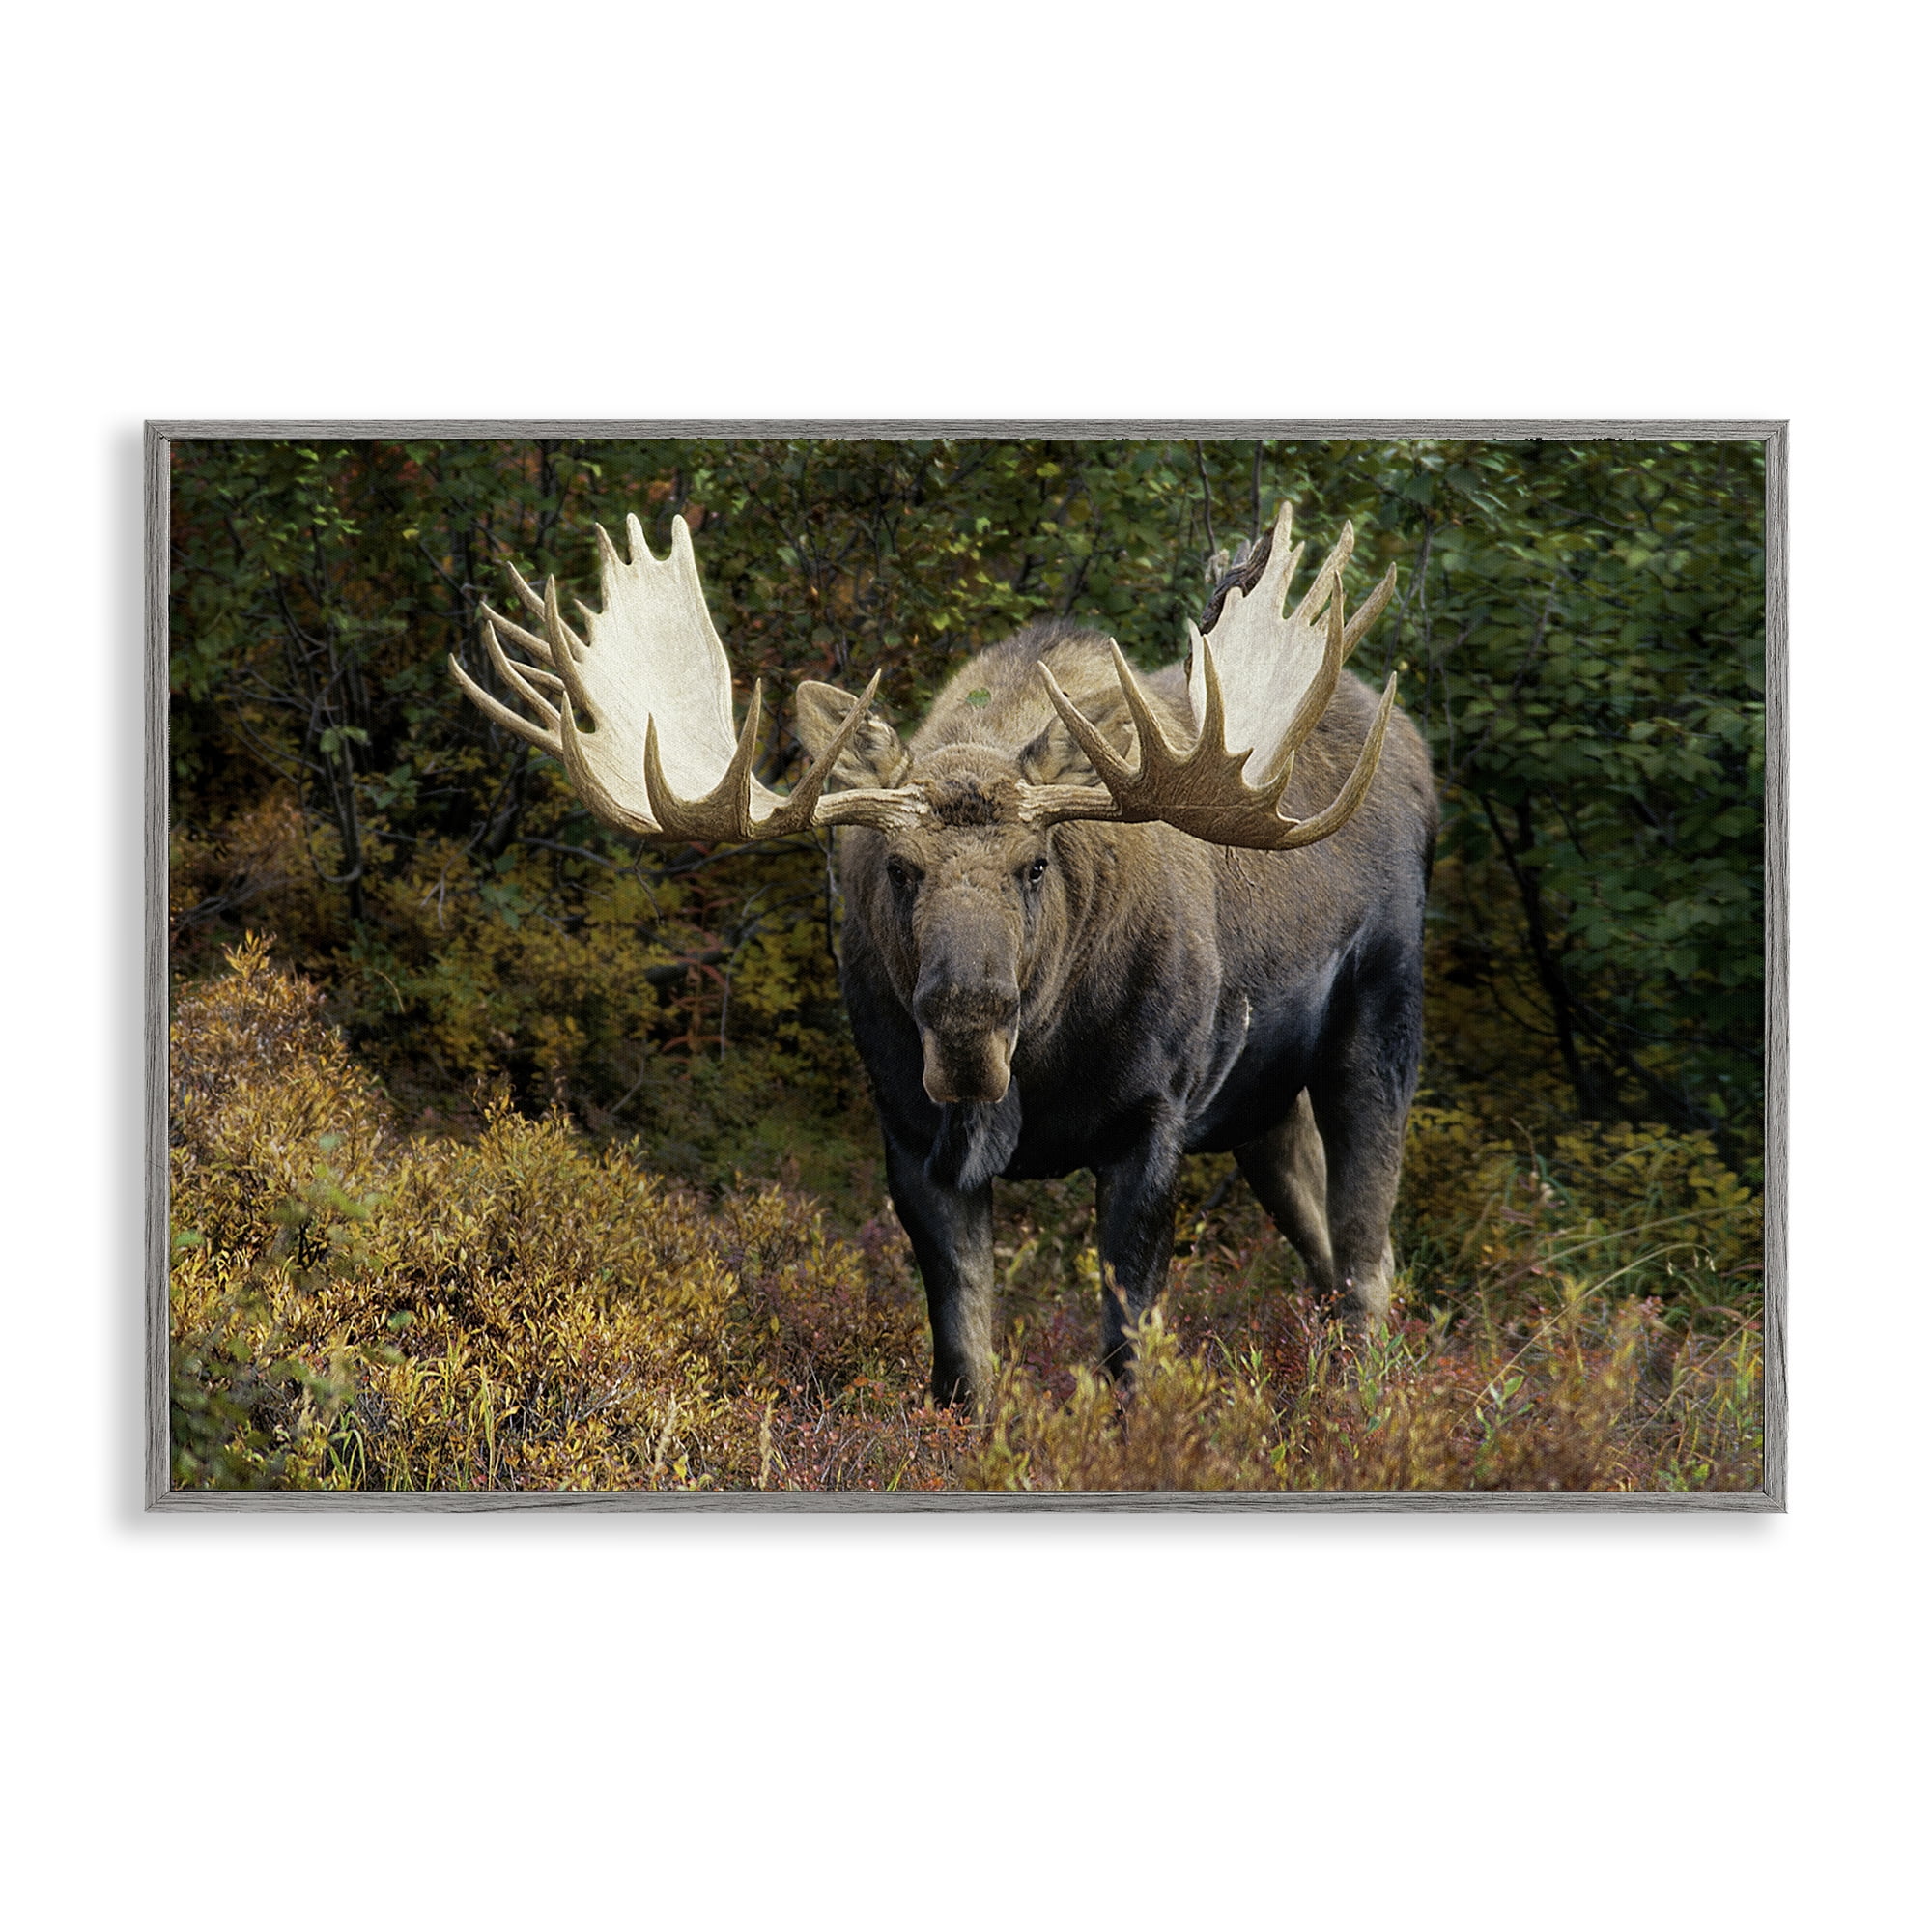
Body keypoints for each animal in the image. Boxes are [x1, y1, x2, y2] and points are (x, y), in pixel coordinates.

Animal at [452, 501, 1437, 1406]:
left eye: (1036, 864)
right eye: (899, 866)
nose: (968, 1028)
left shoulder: (1152, 1120)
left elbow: (1128, 1356)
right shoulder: (909, 1133)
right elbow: (964, 1364)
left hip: (1380, 1019)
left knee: (1369, 1254)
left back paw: (1364, 1408)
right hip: (1260, 1105)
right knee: (1324, 1244)